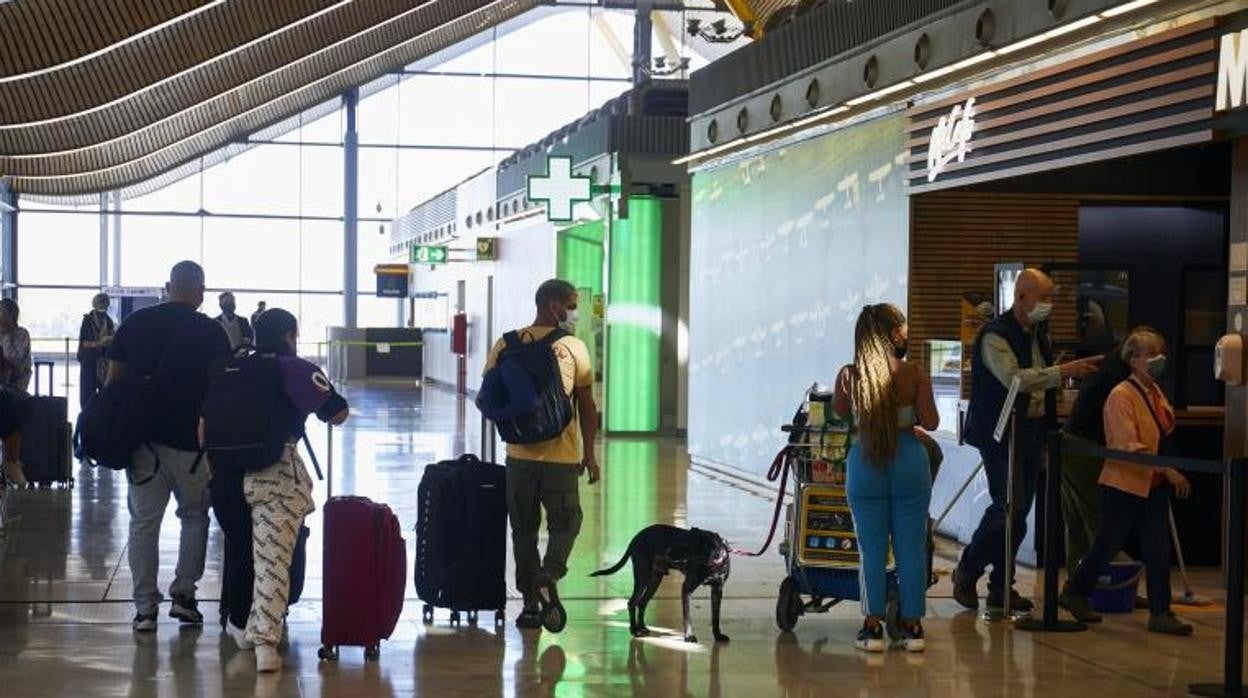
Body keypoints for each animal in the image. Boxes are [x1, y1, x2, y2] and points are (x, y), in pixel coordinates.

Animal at [591, 524, 728, 644]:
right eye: (683, 541)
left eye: (686, 544)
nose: (667, 552)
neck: (711, 566)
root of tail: (636, 537)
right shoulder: (687, 588)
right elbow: (687, 616)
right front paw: (689, 636)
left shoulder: (717, 590)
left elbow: (716, 617)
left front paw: (718, 635)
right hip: (642, 577)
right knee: (632, 602)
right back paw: (635, 630)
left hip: (654, 580)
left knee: (642, 602)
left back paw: (642, 627)